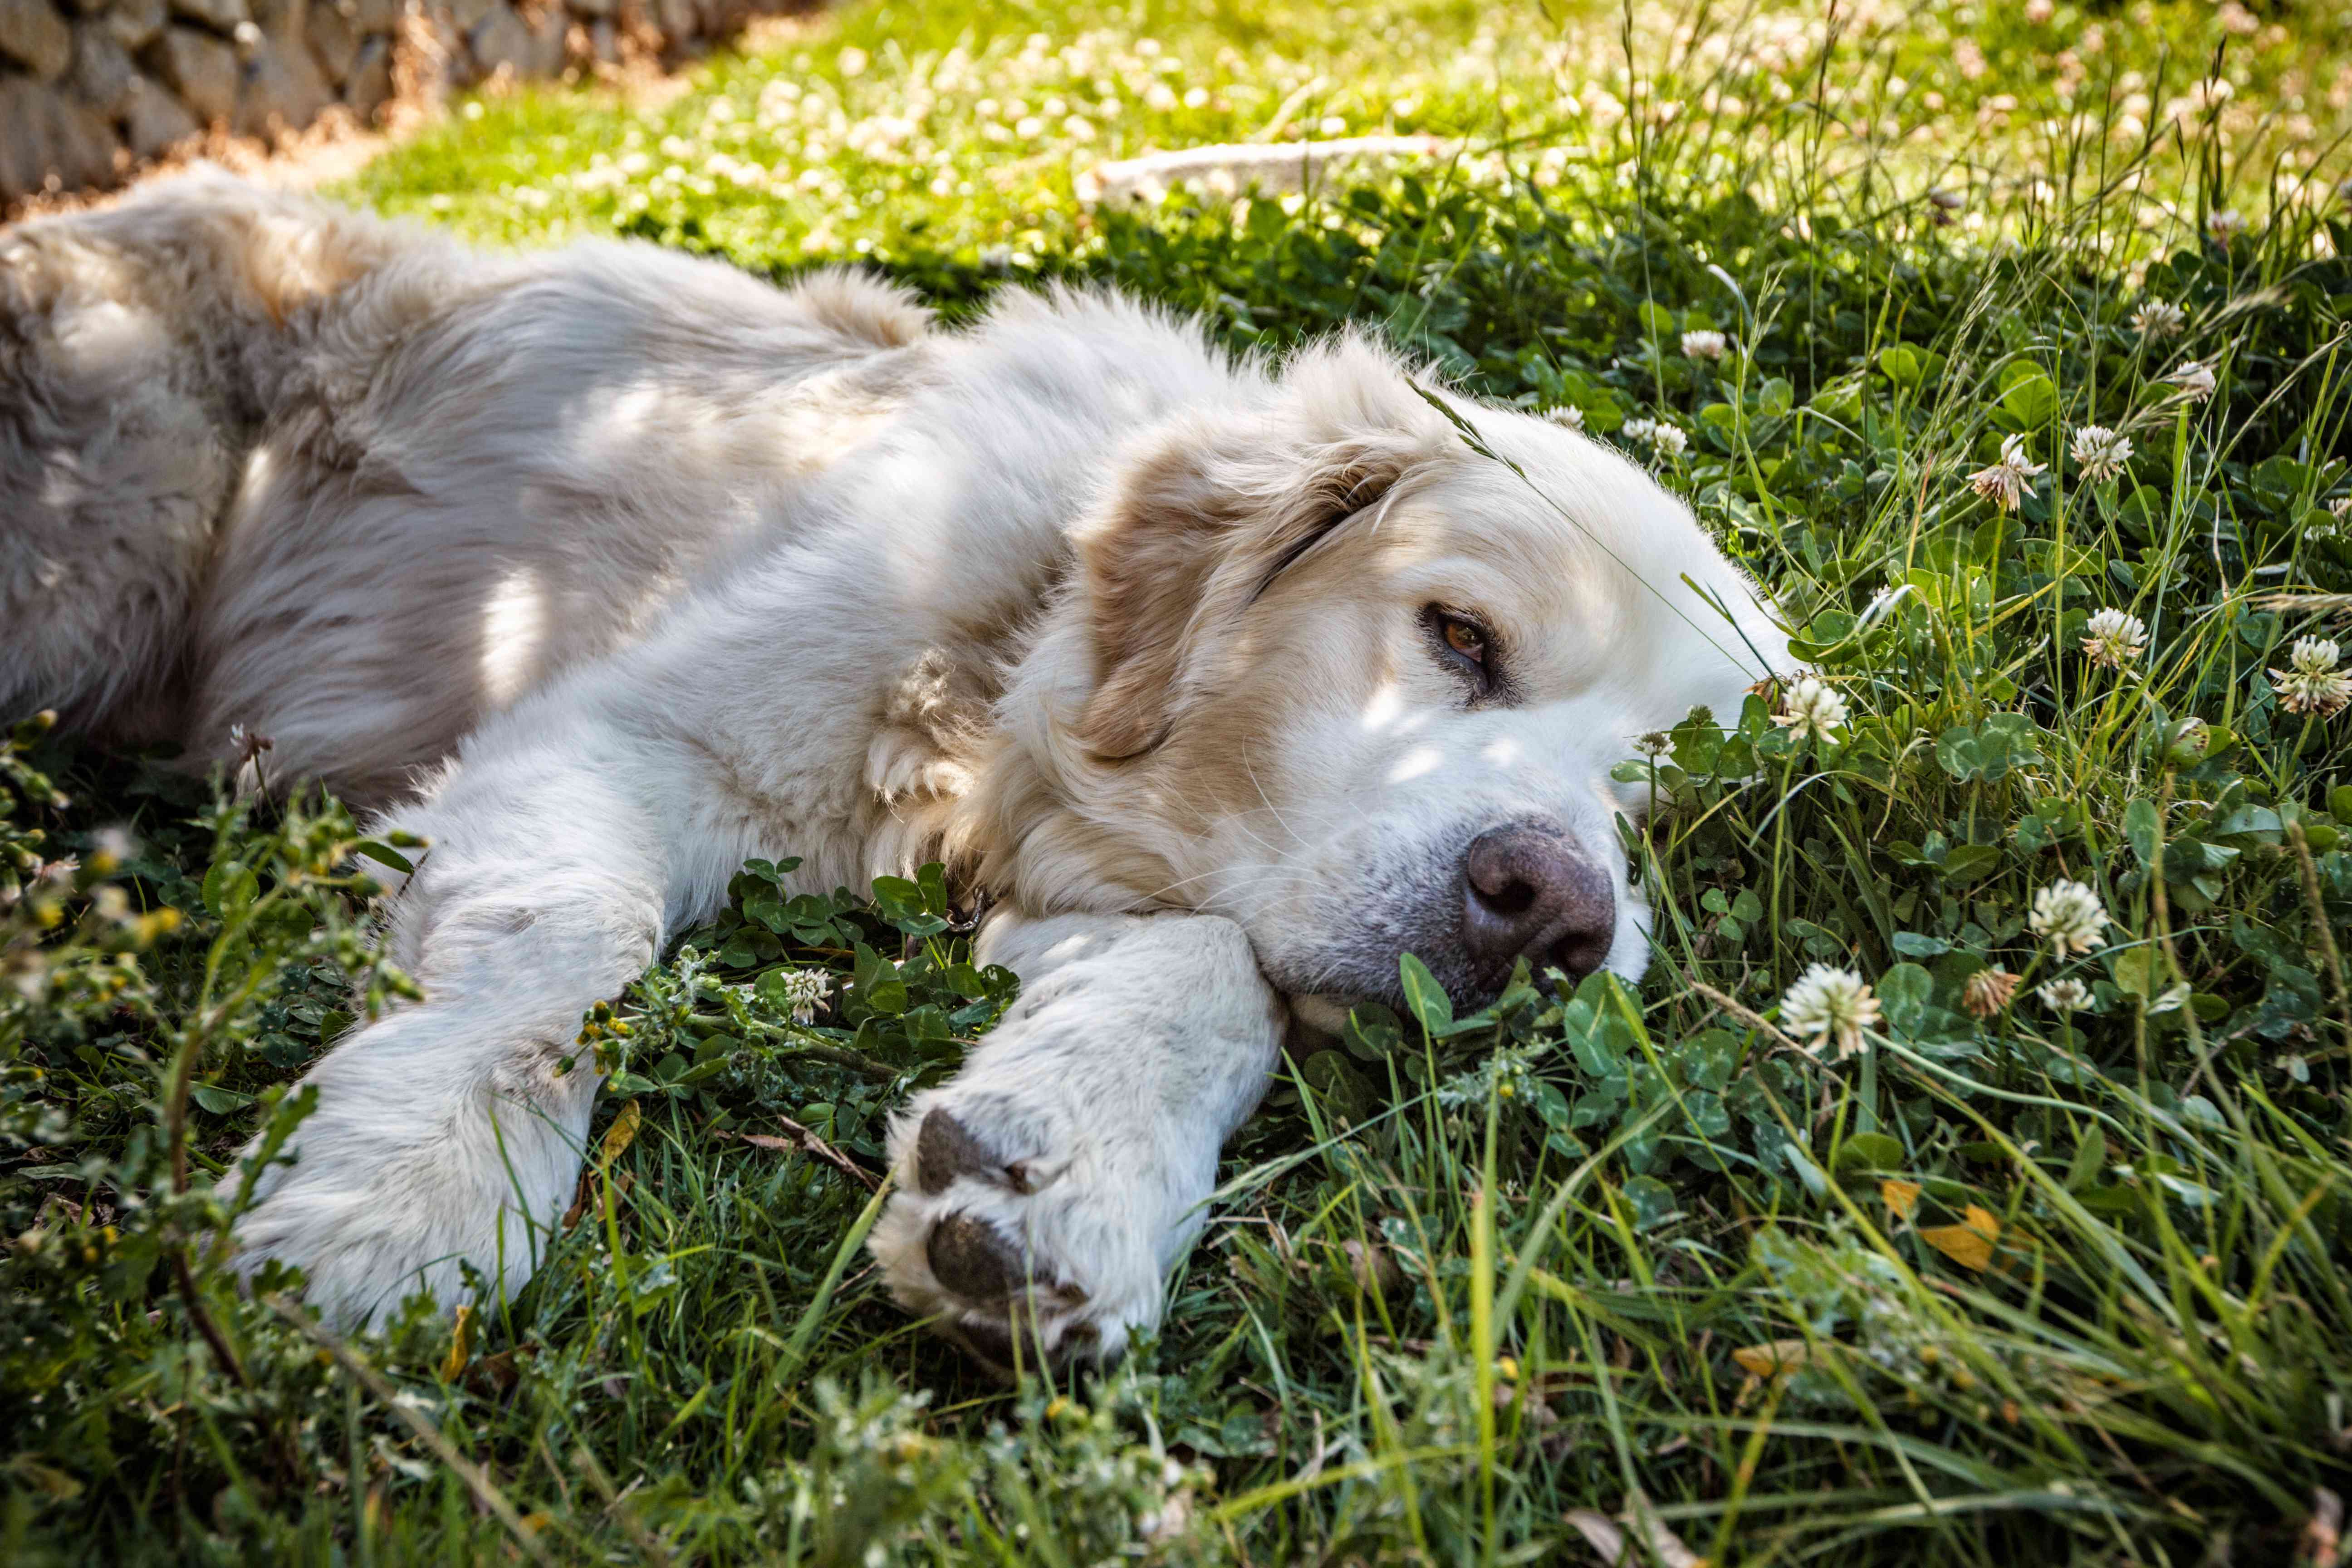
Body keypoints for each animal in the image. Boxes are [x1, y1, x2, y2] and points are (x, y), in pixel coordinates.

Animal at [0, 175, 1787, 1372]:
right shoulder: (613, 739)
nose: (1555, 911)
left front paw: (1065, 1162)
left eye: (1659, 803)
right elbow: (559, 947)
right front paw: (400, 1193)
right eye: (1461, 636)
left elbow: (1219, 969)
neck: (1005, 664)